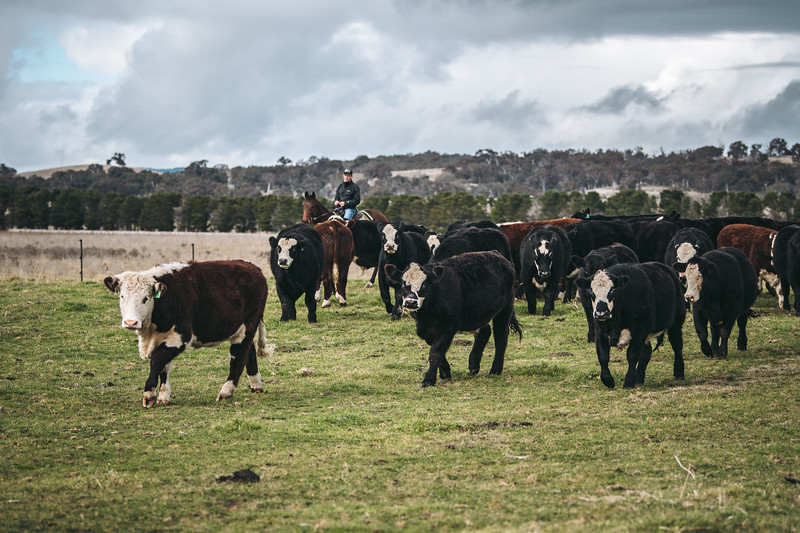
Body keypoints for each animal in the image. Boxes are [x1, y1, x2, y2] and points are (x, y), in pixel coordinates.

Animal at [103, 260, 270, 408]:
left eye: (146, 298)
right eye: (122, 296)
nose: (130, 322)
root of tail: (253, 268)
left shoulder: (180, 338)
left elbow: (156, 361)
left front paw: (149, 395)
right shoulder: (162, 339)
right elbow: (164, 367)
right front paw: (164, 396)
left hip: (247, 326)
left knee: (239, 357)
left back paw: (226, 392)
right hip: (242, 329)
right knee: (250, 351)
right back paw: (256, 385)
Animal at [384, 249, 520, 386]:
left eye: (424, 285)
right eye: (403, 284)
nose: (411, 302)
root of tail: (495, 253)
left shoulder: (448, 327)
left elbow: (435, 351)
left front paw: (429, 379)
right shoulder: (426, 329)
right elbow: (436, 348)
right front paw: (445, 372)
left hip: (505, 309)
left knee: (501, 338)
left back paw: (495, 370)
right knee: (484, 332)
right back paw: (473, 366)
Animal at [576, 260, 688, 388]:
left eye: (612, 290)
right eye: (591, 291)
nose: (601, 313)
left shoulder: (640, 331)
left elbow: (632, 355)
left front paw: (629, 382)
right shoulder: (600, 332)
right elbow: (603, 356)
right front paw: (608, 380)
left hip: (676, 323)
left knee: (677, 345)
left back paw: (678, 373)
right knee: (646, 352)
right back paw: (639, 379)